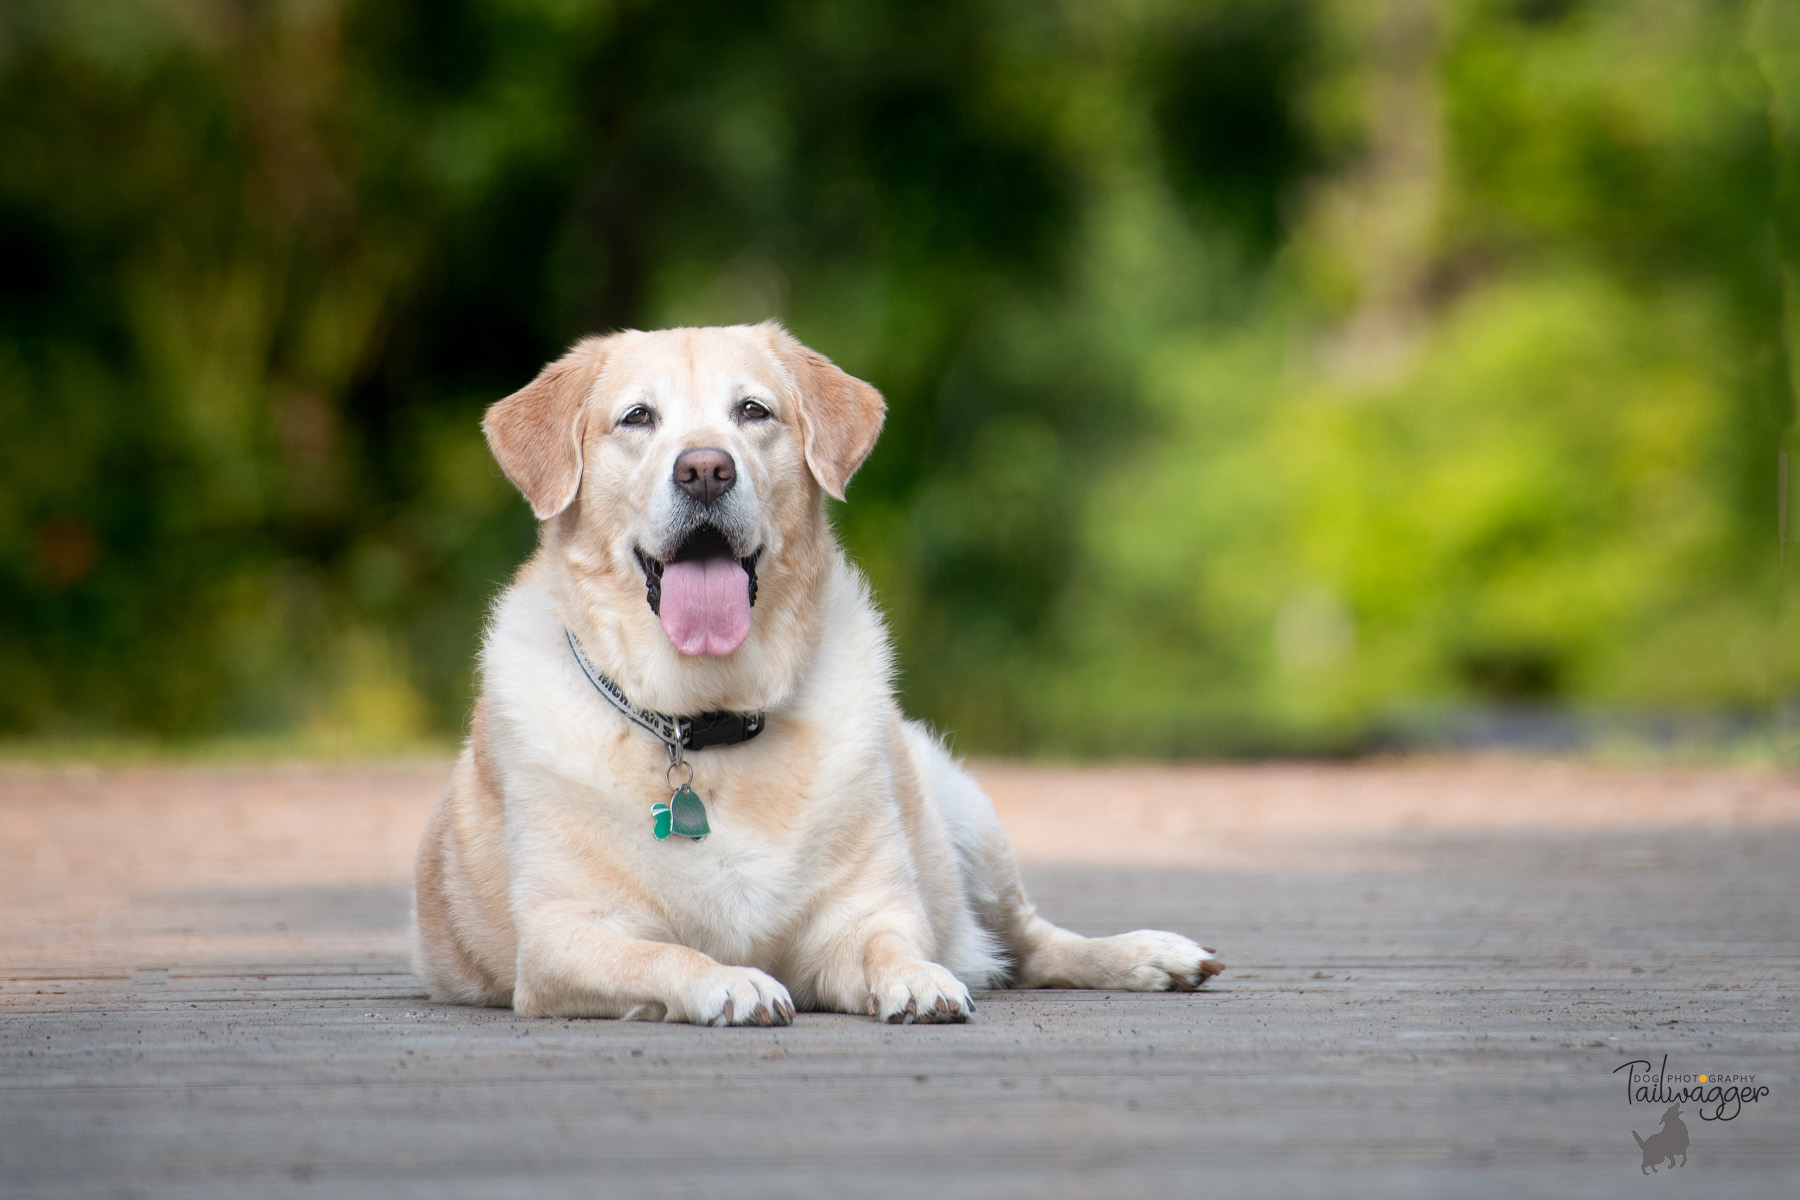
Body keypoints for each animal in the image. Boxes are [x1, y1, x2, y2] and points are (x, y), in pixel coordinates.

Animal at [410, 325, 1224, 1021]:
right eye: (637, 417)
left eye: (753, 411)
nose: (705, 469)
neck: (704, 719)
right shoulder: (562, 939)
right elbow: (666, 954)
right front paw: (731, 982)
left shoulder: (864, 912)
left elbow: (892, 943)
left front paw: (919, 980)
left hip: (967, 814)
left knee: (1028, 943)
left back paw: (1154, 955)